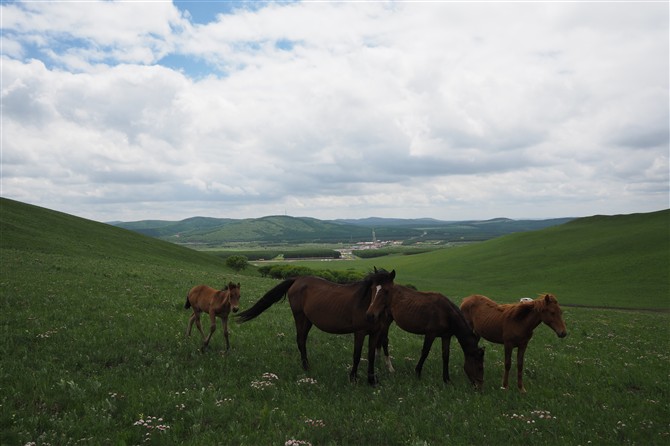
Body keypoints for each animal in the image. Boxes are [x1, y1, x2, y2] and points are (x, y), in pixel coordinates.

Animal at [236, 266, 396, 386]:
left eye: (387, 291)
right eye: (373, 289)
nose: (370, 315)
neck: (364, 303)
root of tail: (297, 279)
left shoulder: (375, 333)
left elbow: (371, 356)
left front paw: (372, 380)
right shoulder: (360, 332)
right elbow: (356, 355)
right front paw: (353, 378)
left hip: (308, 321)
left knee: (302, 340)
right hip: (300, 317)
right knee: (300, 340)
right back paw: (307, 367)